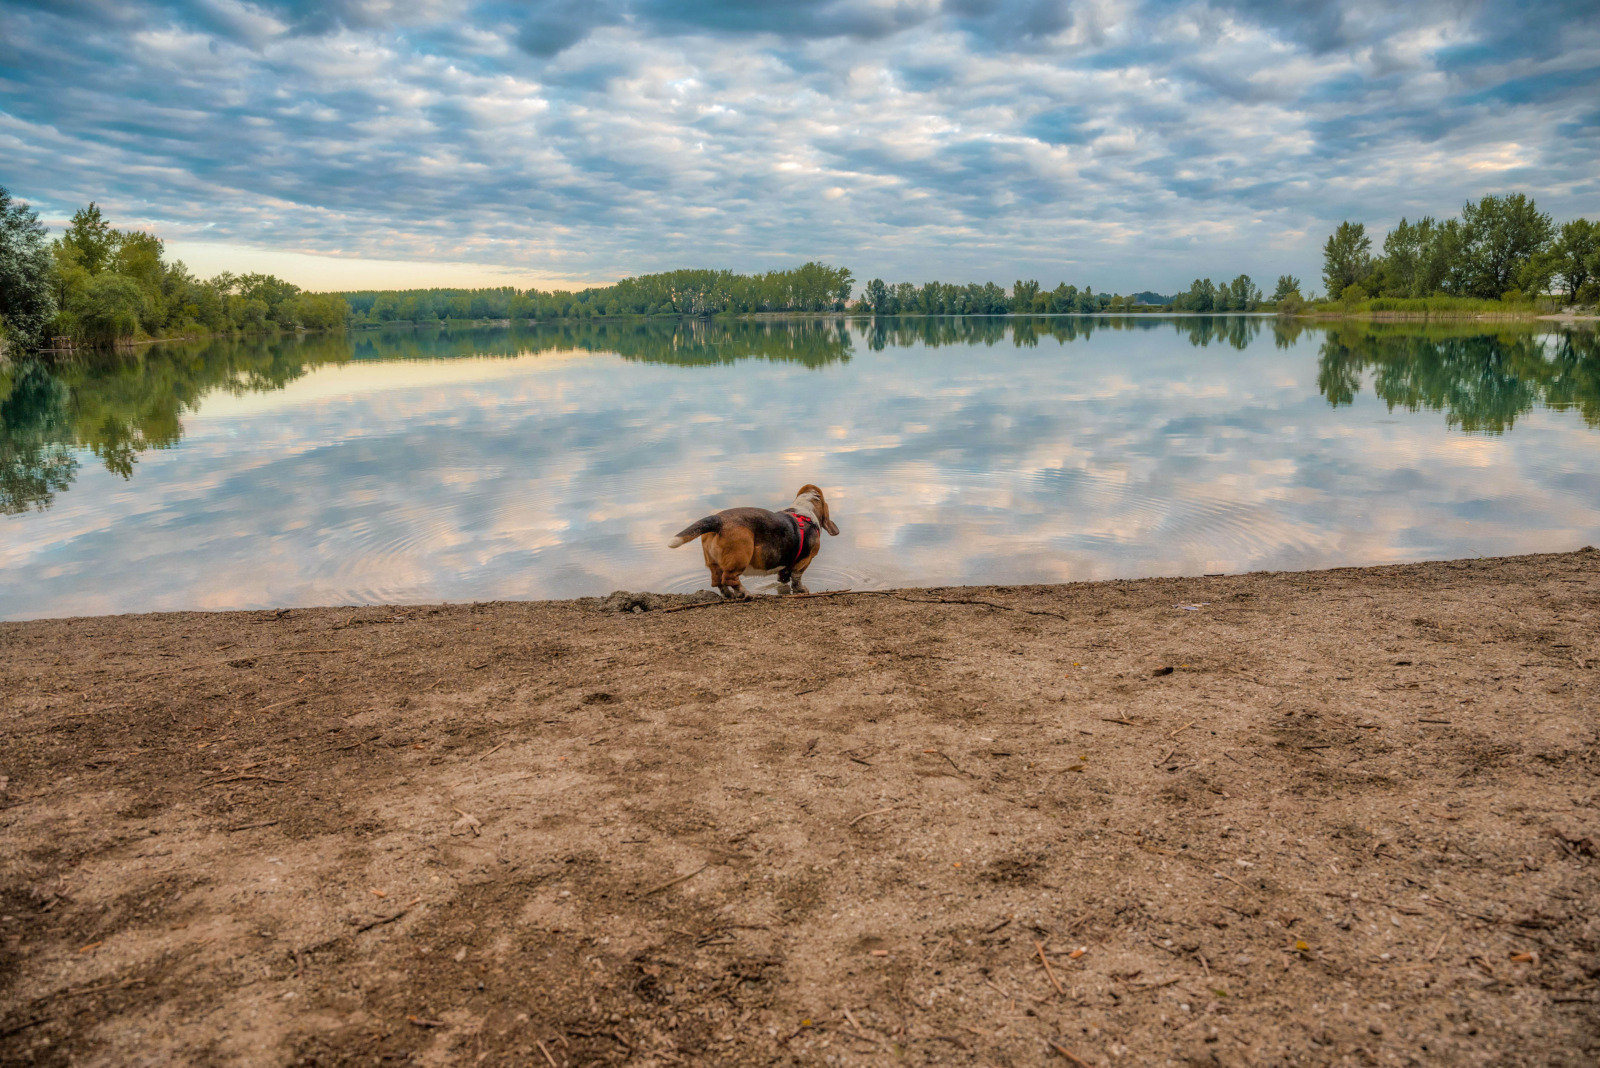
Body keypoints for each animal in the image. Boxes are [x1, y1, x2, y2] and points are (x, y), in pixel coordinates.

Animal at [662, 486, 838, 601]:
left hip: (713, 563)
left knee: (717, 581)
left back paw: (729, 595)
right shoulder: (805, 560)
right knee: (729, 579)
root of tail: (718, 520)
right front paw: (801, 590)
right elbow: (797, 577)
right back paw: (746, 594)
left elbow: (785, 575)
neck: (804, 511)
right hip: (741, 557)